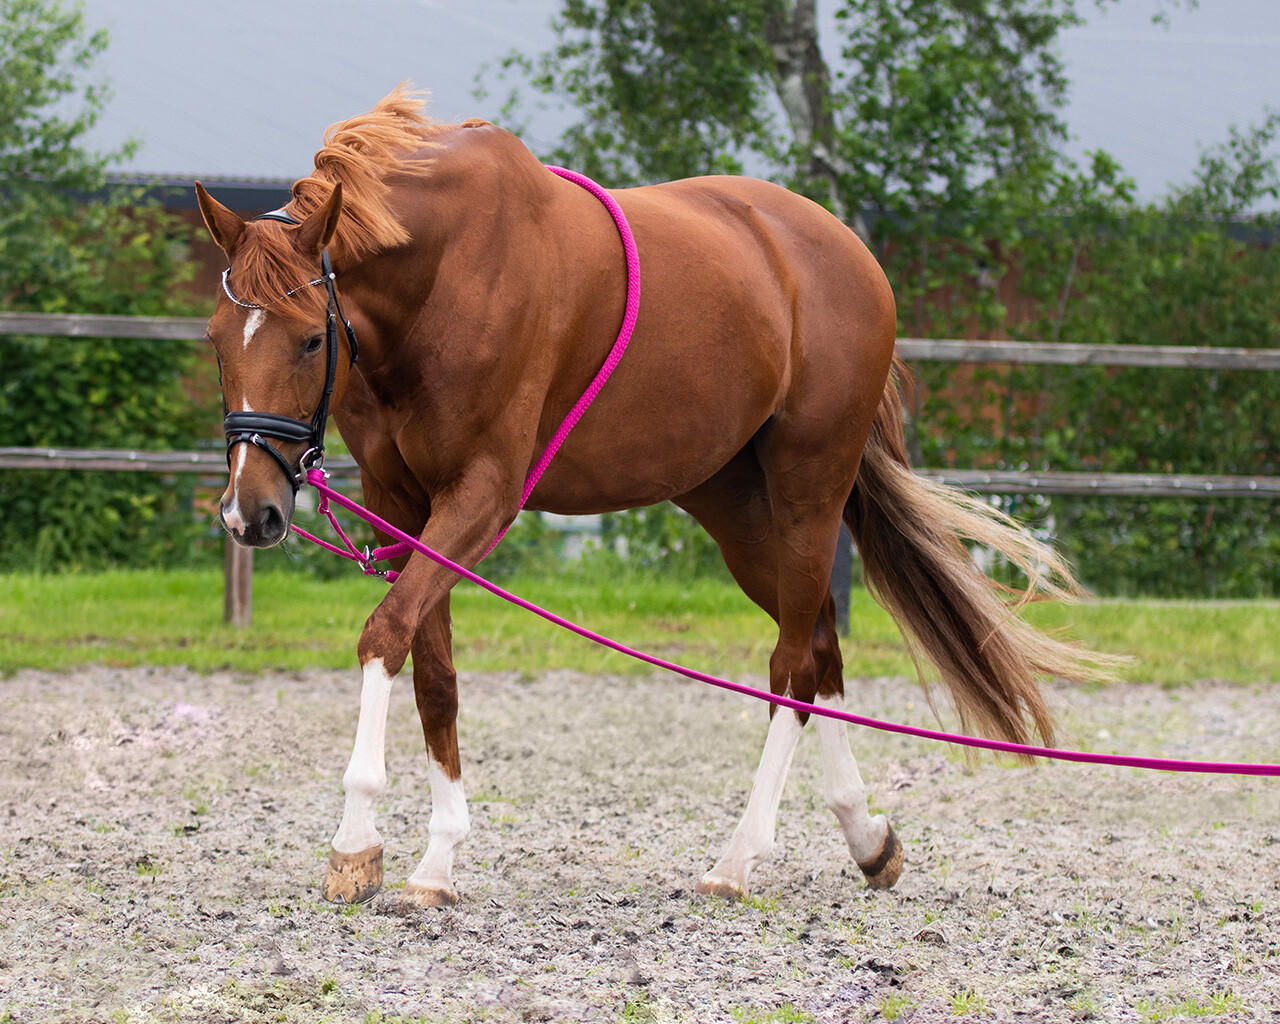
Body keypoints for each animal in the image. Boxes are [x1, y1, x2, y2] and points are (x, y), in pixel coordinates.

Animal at [197, 88, 1100, 906]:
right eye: (214, 339)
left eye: (308, 338)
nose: (251, 512)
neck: (444, 277)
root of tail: (844, 251)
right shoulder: (403, 504)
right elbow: (434, 673)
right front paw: (437, 859)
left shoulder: (481, 496)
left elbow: (386, 635)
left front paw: (357, 844)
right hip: (737, 510)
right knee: (820, 651)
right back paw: (866, 838)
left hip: (809, 495)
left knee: (792, 667)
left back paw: (738, 860)